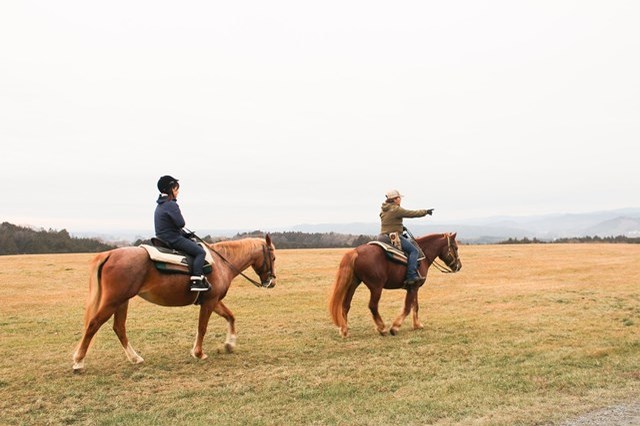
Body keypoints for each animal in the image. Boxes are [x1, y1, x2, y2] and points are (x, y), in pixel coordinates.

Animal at [73, 235, 278, 372]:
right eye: (274, 257)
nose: (271, 282)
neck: (221, 263)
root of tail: (109, 254)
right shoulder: (209, 302)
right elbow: (202, 327)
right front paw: (198, 353)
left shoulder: (214, 301)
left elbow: (230, 317)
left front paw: (230, 344)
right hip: (113, 301)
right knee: (93, 324)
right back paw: (78, 362)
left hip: (122, 301)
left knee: (119, 328)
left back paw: (135, 358)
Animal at [330, 231, 460, 338]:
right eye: (456, 247)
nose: (459, 266)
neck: (422, 255)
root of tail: (355, 252)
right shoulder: (413, 287)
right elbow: (407, 308)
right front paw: (395, 327)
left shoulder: (415, 287)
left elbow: (415, 306)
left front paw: (417, 325)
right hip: (376, 287)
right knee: (372, 306)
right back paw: (382, 328)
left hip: (353, 283)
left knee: (345, 305)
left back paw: (344, 330)